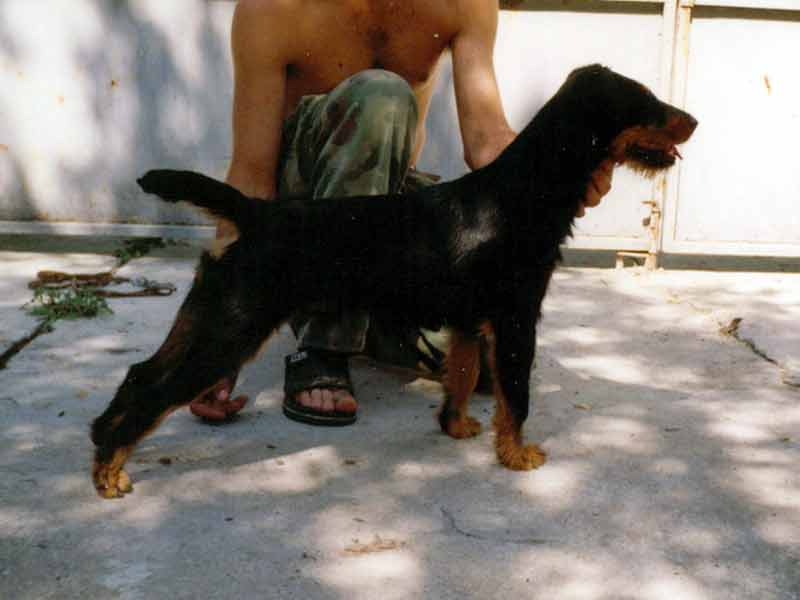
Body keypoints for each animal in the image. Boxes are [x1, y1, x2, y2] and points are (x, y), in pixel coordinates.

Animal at [90, 65, 697, 498]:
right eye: (648, 104)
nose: (693, 121)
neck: (523, 191)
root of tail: (255, 212)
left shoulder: (471, 325)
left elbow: (461, 377)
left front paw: (457, 428)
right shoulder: (515, 320)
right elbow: (516, 396)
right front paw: (517, 455)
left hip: (208, 315)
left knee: (139, 375)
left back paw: (103, 456)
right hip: (230, 327)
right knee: (153, 389)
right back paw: (109, 471)